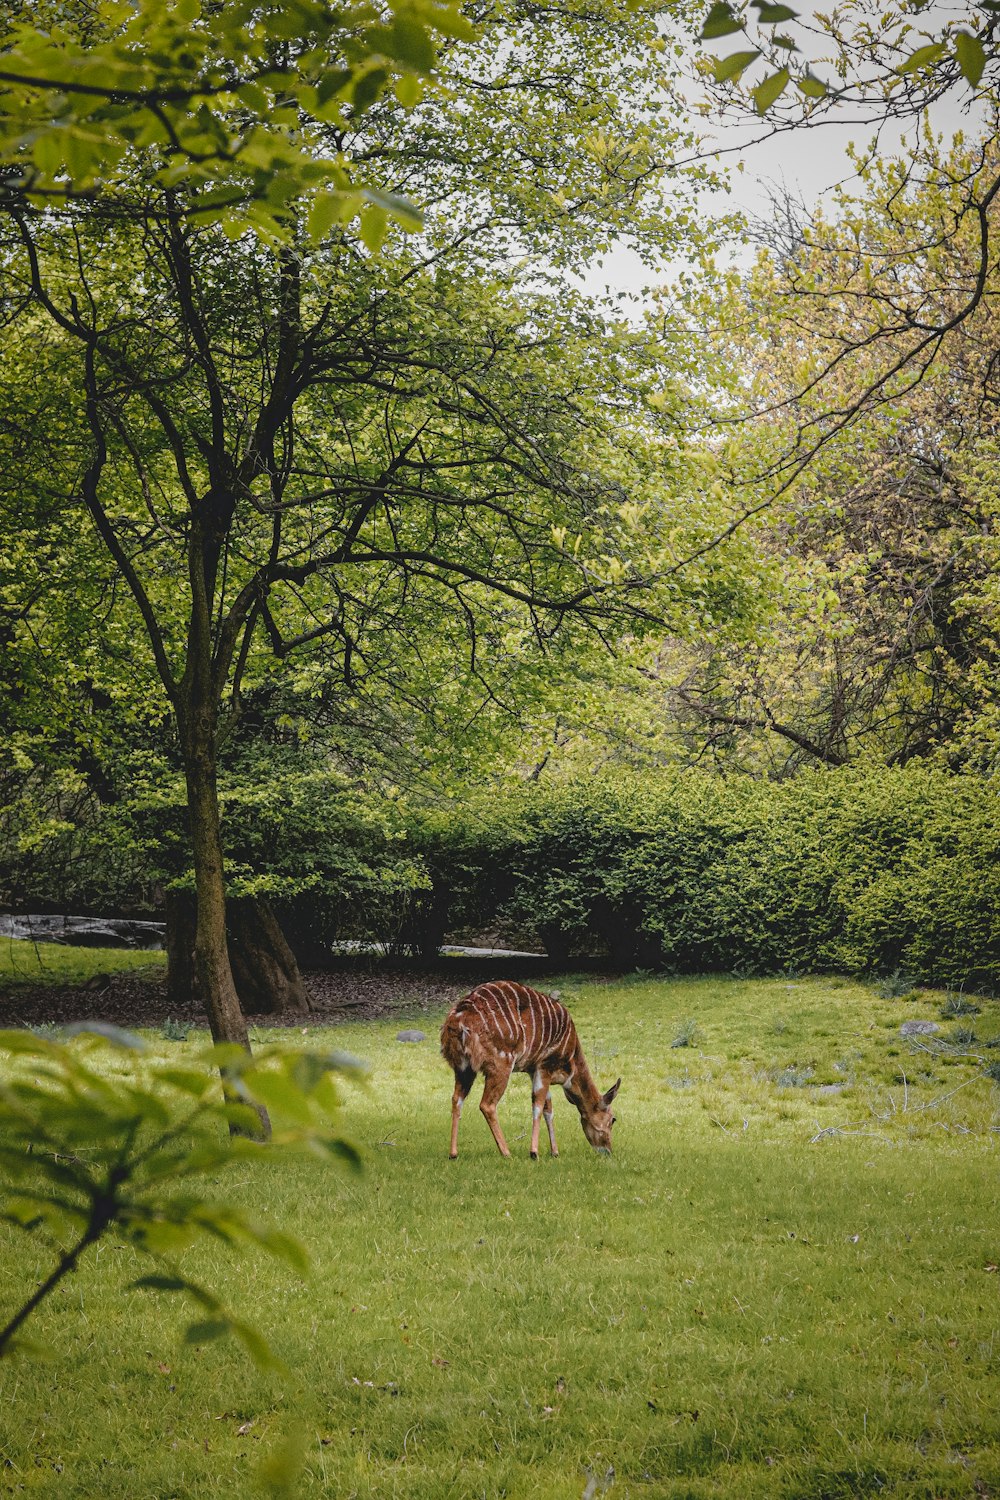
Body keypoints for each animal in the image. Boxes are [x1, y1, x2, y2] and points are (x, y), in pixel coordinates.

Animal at [440, 984, 620, 1158]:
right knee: (487, 1105)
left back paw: (453, 1153)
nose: (608, 1151)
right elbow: (538, 1106)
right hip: (501, 1064)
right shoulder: (545, 1065)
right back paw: (506, 1153)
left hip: (463, 1068)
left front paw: (555, 1152)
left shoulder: (534, 1070)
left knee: (456, 1099)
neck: (570, 1063)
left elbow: (548, 1108)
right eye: (612, 1120)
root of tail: (458, 1020)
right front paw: (534, 1152)